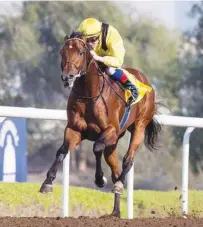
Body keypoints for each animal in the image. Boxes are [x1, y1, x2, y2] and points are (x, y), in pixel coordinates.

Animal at [39, 32, 163, 218]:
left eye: (81, 52)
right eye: (62, 52)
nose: (67, 77)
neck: (89, 94)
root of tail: (146, 82)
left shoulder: (110, 130)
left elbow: (96, 148)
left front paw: (99, 179)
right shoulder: (75, 130)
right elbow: (62, 151)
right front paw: (47, 182)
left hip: (139, 126)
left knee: (128, 159)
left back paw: (119, 185)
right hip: (113, 143)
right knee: (115, 171)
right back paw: (115, 212)